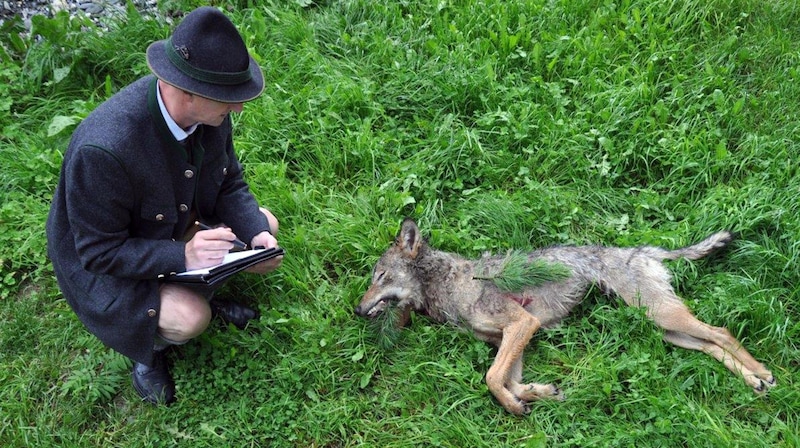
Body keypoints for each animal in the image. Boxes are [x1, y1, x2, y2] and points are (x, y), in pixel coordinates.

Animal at [354, 219, 772, 414]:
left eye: (380, 276)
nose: (357, 309)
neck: (450, 283)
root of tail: (640, 249)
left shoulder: (523, 325)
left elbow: (491, 379)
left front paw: (514, 406)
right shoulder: (512, 338)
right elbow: (509, 380)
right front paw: (539, 394)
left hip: (664, 318)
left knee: (722, 332)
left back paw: (763, 373)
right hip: (667, 330)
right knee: (710, 344)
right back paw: (753, 381)